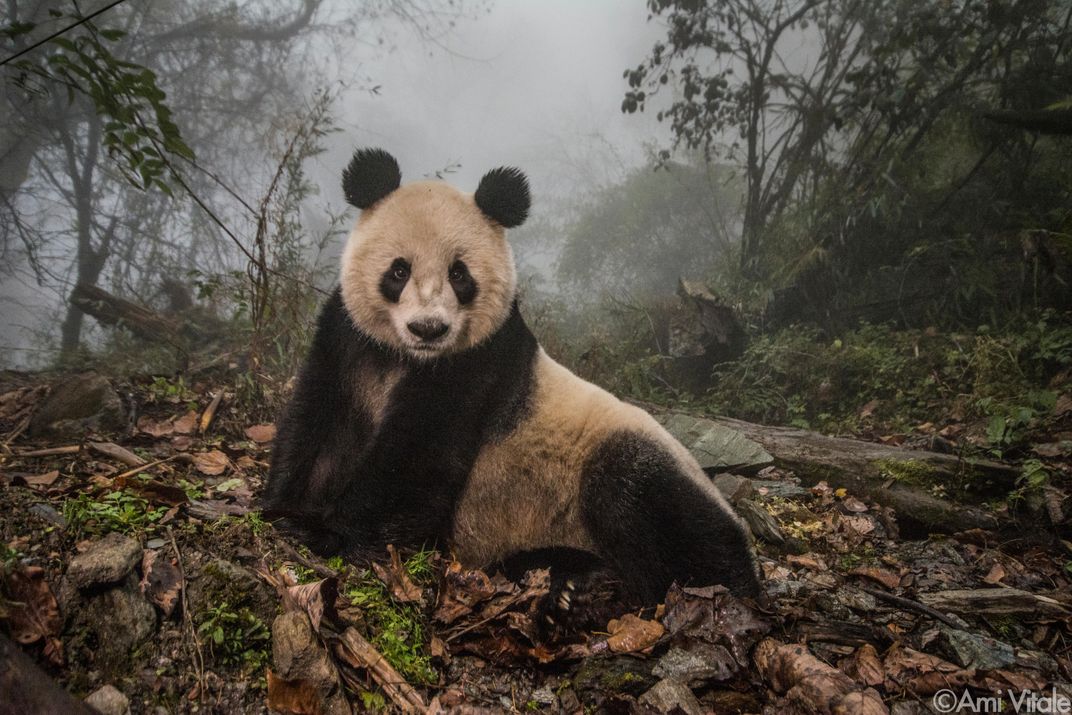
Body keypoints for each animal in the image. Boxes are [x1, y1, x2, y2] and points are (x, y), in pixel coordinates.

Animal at [263, 146, 758, 621]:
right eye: (398, 270)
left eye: (459, 274)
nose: (428, 329)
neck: (407, 358)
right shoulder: (347, 340)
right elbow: (317, 424)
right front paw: (285, 509)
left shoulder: (477, 364)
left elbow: (415, 460)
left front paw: (328, 531)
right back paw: (570, 580)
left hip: (630, 458)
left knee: (653, 508)